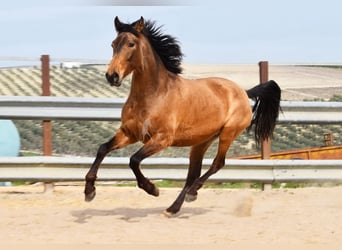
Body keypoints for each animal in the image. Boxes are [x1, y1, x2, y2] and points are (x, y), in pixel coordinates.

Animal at [85, 17, 280, 217]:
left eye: (131, 44)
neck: (154, 94)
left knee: (217, 164)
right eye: (113, 44)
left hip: (228, 134)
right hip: (201, 142)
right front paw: (89, 191)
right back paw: (173, 208)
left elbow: (134, 160)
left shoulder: (162, 139)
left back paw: (192, 193)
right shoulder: (129, 133)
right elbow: (103, 149)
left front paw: (152, 189)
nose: (112, 76)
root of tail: (243, 92)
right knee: (192, 174)